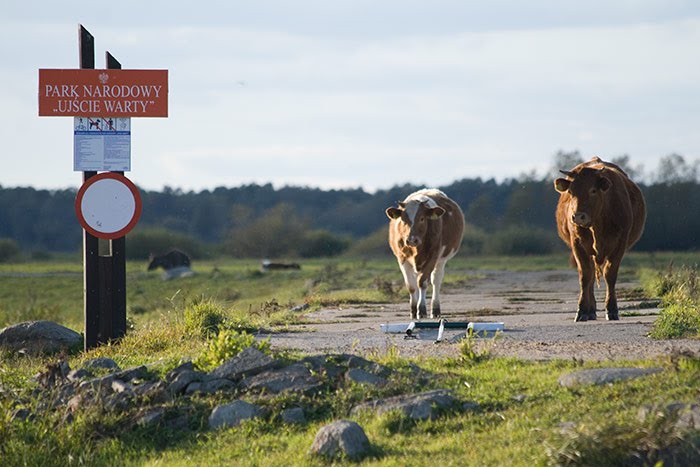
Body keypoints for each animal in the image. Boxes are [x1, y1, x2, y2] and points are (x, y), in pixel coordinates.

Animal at [382, 188, 464, 320]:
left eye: (422, 218)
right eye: (403, 219)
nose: (411, 240)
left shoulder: (433, 257)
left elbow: (423, 282)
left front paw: (422, 310)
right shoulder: (402, 259)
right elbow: (411, 286)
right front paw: (413, 311)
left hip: (441, 260)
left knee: (436, 281)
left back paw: (435, 310)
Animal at [552, 157, 644, 322]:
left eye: (593, 190)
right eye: (570, 191)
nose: (578, 217)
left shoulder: (620, 243)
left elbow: (610, 274)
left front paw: (612, 309)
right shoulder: (577, 244)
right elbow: (585, 276)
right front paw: (582, 310)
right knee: (590, 277)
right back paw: (590, 310)